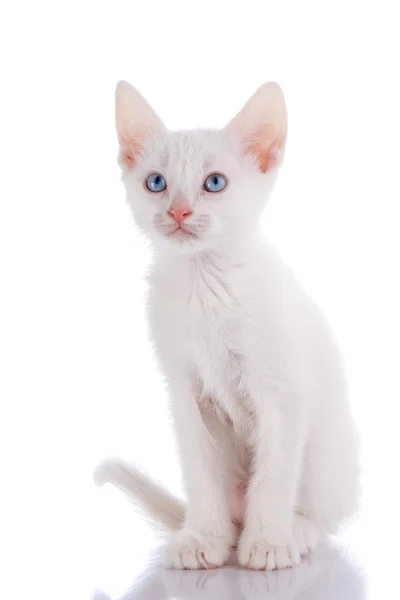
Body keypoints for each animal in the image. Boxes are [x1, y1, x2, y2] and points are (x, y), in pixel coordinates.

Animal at [95, 81, 360, 572]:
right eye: (156, 182)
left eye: (214, 183)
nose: (179, 212)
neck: (205, 286)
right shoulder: (186, 394)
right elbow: (202, 474)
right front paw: (204, 538)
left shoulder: (283, 391)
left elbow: (273, 476)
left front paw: (269, 542)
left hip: (329, 452)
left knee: (321, 511)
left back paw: (296, 531)